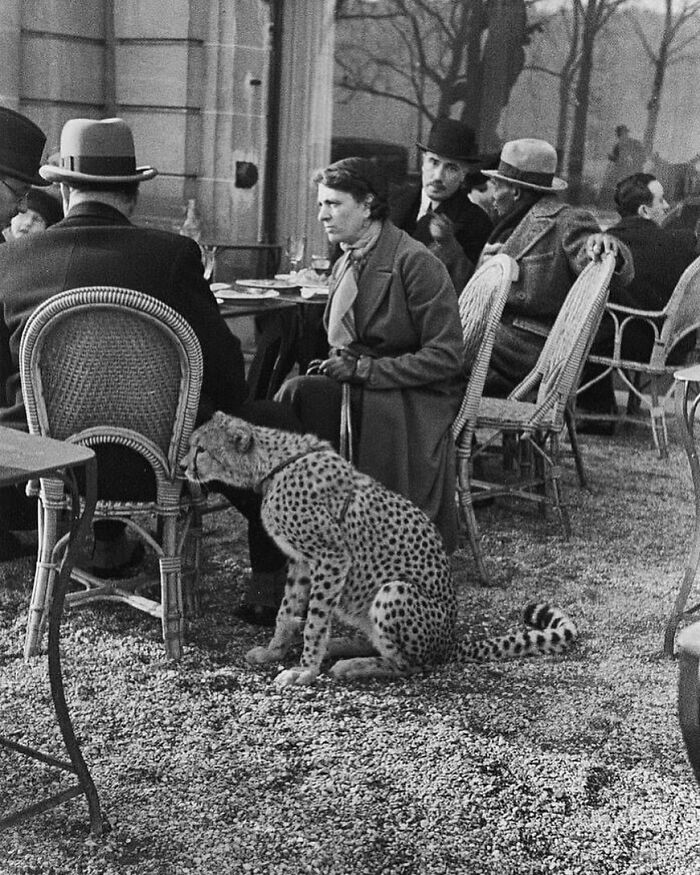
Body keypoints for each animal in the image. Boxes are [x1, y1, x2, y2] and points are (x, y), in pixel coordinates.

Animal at [182, 411, 577, 686]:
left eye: (201, 449)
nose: (183, 466)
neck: (274, 464)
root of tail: (450, 640)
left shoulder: (330, 557)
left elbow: (315, 620)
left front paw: (305, 670)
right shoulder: (300, 562)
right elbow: (287, 612)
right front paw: (274, 651)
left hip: (393, 591)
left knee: (409, 665)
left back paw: (351, 664)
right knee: (379, 643)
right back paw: (342, 645)